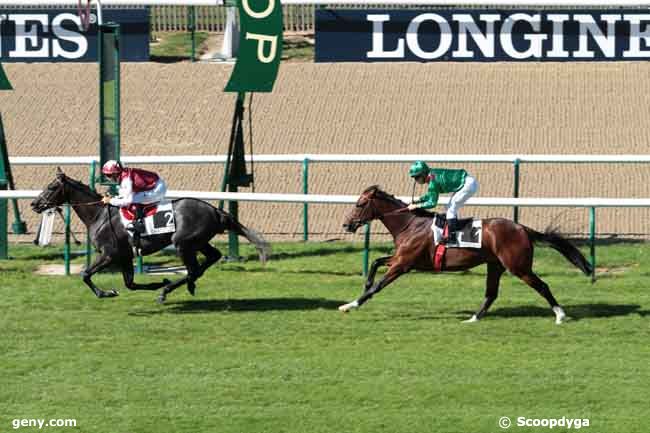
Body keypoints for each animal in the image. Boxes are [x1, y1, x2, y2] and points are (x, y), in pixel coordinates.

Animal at [31, 167, 270, 302]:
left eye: (51, 187)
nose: (34, 204)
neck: (99, 215)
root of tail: (215, 210)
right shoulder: (125, 255)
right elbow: (130, 283)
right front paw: (156, 282)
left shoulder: (109, 254)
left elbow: (85, 274)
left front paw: (106, 293)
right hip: (198, 242)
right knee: (212, 258)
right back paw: (184, 285)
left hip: (183, 243)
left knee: (193, 269)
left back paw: (168, 290)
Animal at [340, 184, 592, 322]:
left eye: (360, 204)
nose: (346, 225)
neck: (410, 224)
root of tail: (523, 228)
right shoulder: (402, 259)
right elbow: (375, 261)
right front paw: (363, 285)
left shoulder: (403, 264)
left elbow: (378, 286)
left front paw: (351, 305)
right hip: (495, 265)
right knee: (491, 294)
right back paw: (472, 318)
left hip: (518, 266)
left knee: (542, 286)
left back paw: (560, 315)